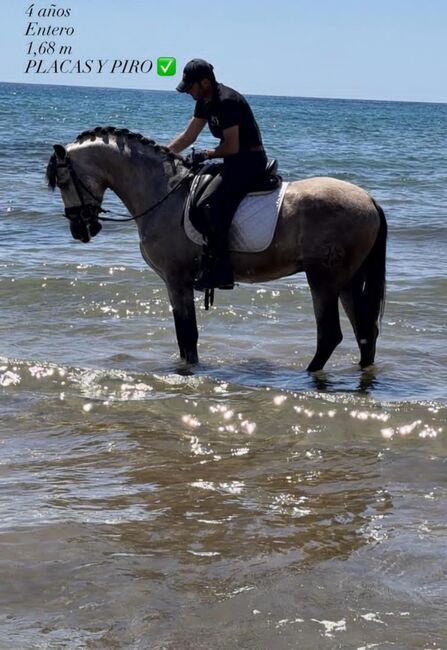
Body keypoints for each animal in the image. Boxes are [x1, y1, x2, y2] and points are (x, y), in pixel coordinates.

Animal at [46, 126, 387, 372]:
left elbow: (187, 335)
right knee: (364, 333)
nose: (81, 230)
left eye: (63, 181)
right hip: (347, 281)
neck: (163, 194)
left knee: (331, 335)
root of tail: (369, 200)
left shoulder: (176, 280)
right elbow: (184, 337)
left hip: (323, 280)